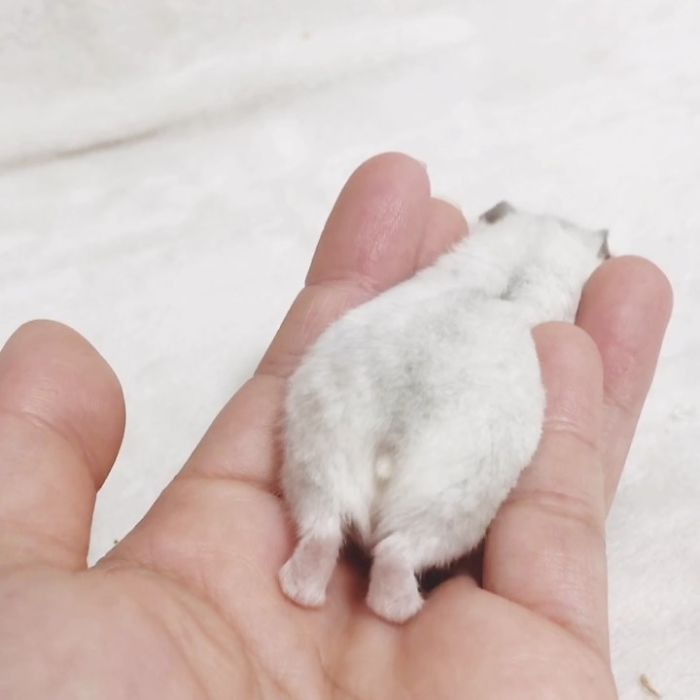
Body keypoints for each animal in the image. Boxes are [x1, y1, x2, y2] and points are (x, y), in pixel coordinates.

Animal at [278, 202, 608, 624]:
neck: (507, 292)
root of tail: (390, 444)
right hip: (451, 504)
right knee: (393, 557)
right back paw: (406, 611)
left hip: (316, 450)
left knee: (323, 530)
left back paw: (298, 590)